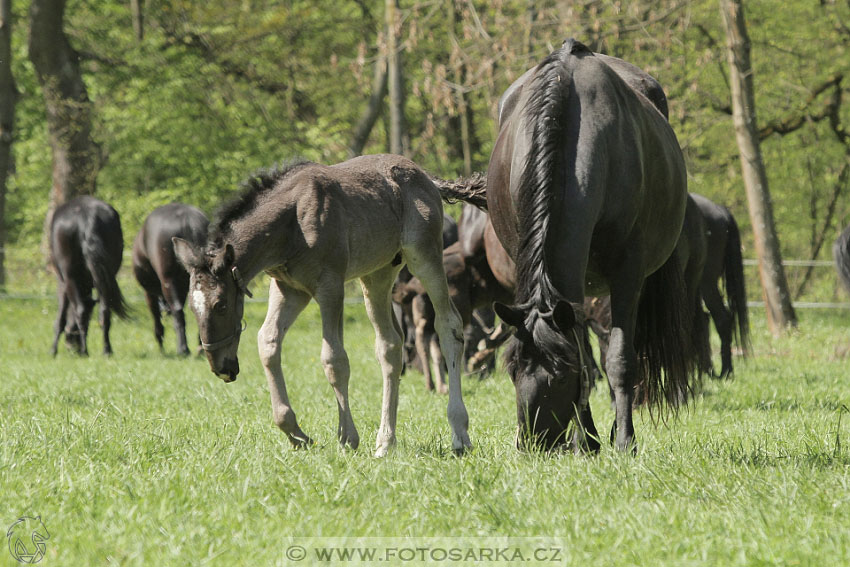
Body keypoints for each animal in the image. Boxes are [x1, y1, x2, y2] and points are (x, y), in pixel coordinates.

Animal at [49, 195, 129, 356]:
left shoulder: (63, 284)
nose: (72, 346)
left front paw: (53, 350)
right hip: (104, 280)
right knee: (104, 312)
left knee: (81, 311)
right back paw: (107, 350)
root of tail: (87, 216)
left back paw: (85, 352)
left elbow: (61, 317)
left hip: (70, 278)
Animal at [135, 203, 211, 356]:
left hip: (167, 280)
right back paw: (200, 347)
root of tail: (187, 220)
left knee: (177, 311)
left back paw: (183, 349)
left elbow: (155, 314)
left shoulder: (149, 292)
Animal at [175, 155, 474, 458]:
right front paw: (296, 434)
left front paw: (347, 437)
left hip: (425, 256)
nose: (221, 367)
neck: (291, 223)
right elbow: (268, 342)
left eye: (221, 305)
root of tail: (426, 177)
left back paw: (460, 436)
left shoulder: (330, 286)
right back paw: (385, 442)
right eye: (192, 307)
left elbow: (334, 358)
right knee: (390, 345)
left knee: (449, 326)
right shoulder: (288, 289)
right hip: (377, 274)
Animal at [484, 38, 696, 452]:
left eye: (559, 375)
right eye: (513, 370)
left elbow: (619, 359)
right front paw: (587, 440)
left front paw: (624, 440)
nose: (533, 444)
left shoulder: (628, 274)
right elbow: (585, 353)